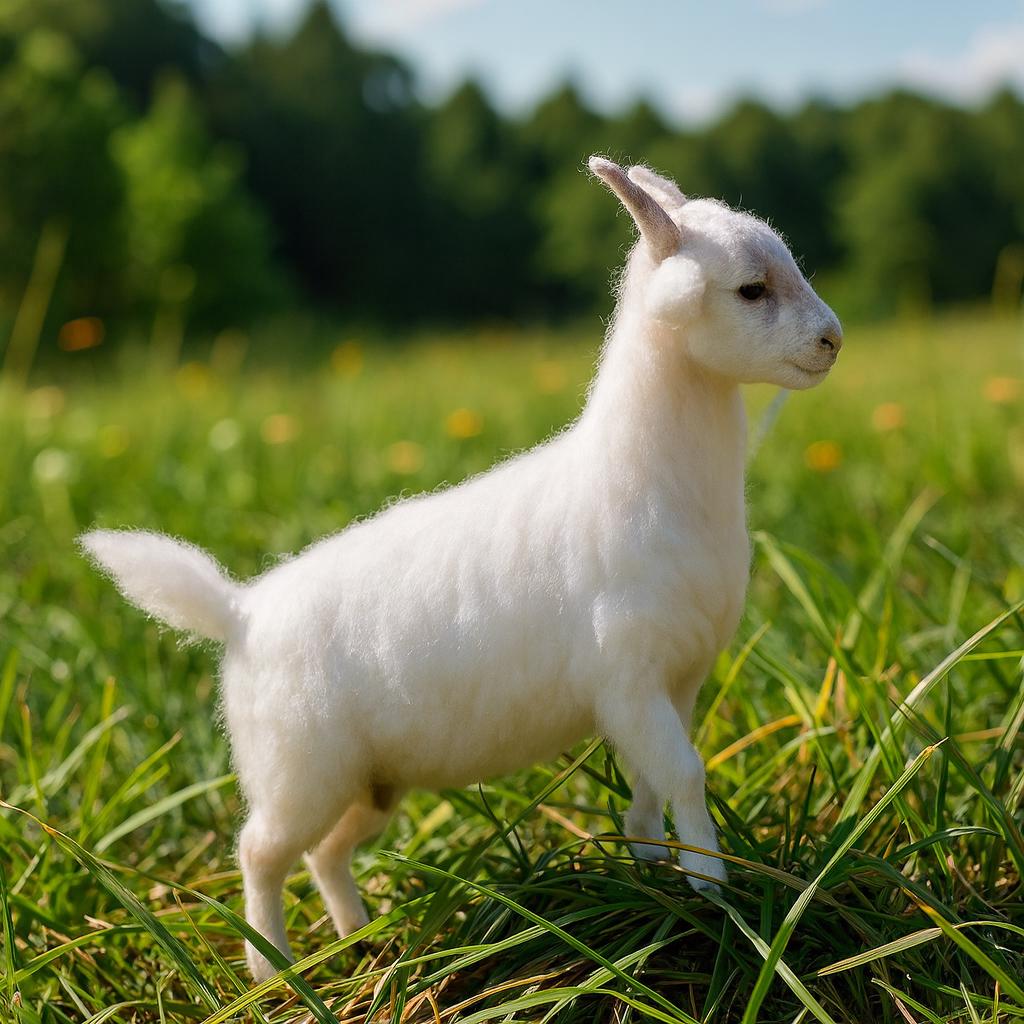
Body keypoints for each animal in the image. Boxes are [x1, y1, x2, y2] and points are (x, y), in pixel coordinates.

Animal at [82, 155, 842, 982]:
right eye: (751, 289)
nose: (832, 340)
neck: (649, 485)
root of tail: (238, 610)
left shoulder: (677, 680)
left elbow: (652, 785)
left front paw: (650, 872)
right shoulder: (631, 681)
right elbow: (685, 775)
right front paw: (715, 894)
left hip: (369, 783)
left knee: (325, 854)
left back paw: (358, 939)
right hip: (297, 771)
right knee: (259, 853)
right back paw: (272, 971)